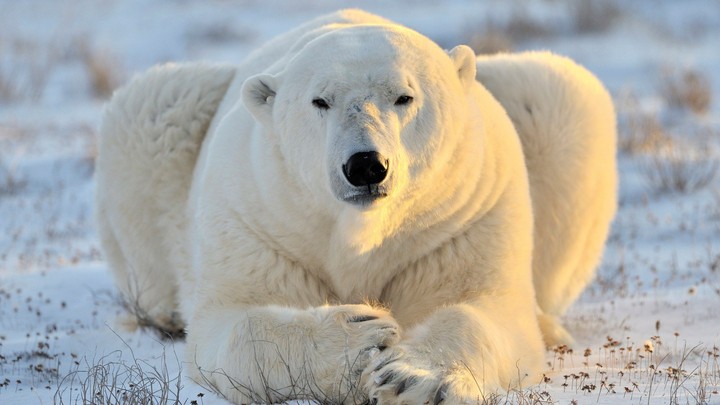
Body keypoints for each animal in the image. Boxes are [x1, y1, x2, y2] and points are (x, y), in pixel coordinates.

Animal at [94, 9, 616, 405]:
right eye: (319, 101)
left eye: (405, 96)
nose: (366, 165)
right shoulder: (257, 218)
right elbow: (233, 322)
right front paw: (362, 339)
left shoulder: (466, 217)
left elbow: (483, 309)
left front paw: (412, 379)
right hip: (161, 127)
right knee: (154, 106)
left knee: (557, 91)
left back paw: (552, 327)